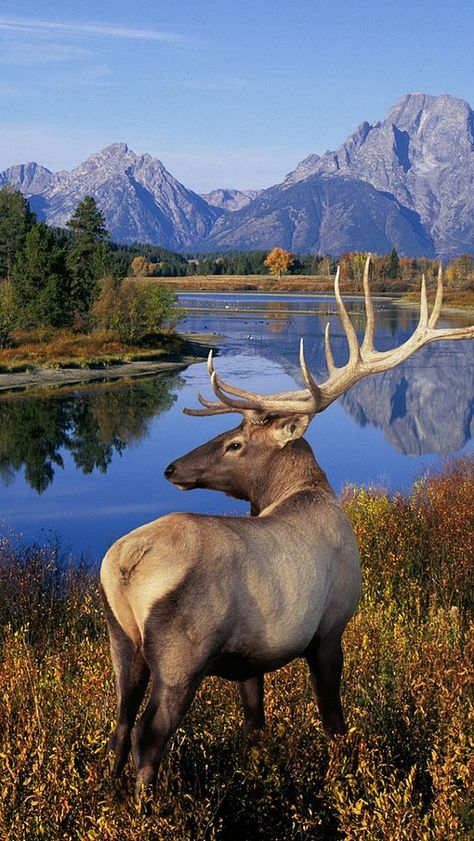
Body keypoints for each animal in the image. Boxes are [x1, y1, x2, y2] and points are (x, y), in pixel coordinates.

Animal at [101, 256, 474, 788]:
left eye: (234, 442)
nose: (171, 467)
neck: (305, 492)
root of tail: (125, 564)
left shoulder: (249, 661)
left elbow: (255, 723)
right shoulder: (330, 628)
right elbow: (334, 720)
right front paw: (345, 773)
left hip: (121, 641)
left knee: (119, 724)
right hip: (180, 656)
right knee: (147, 737)